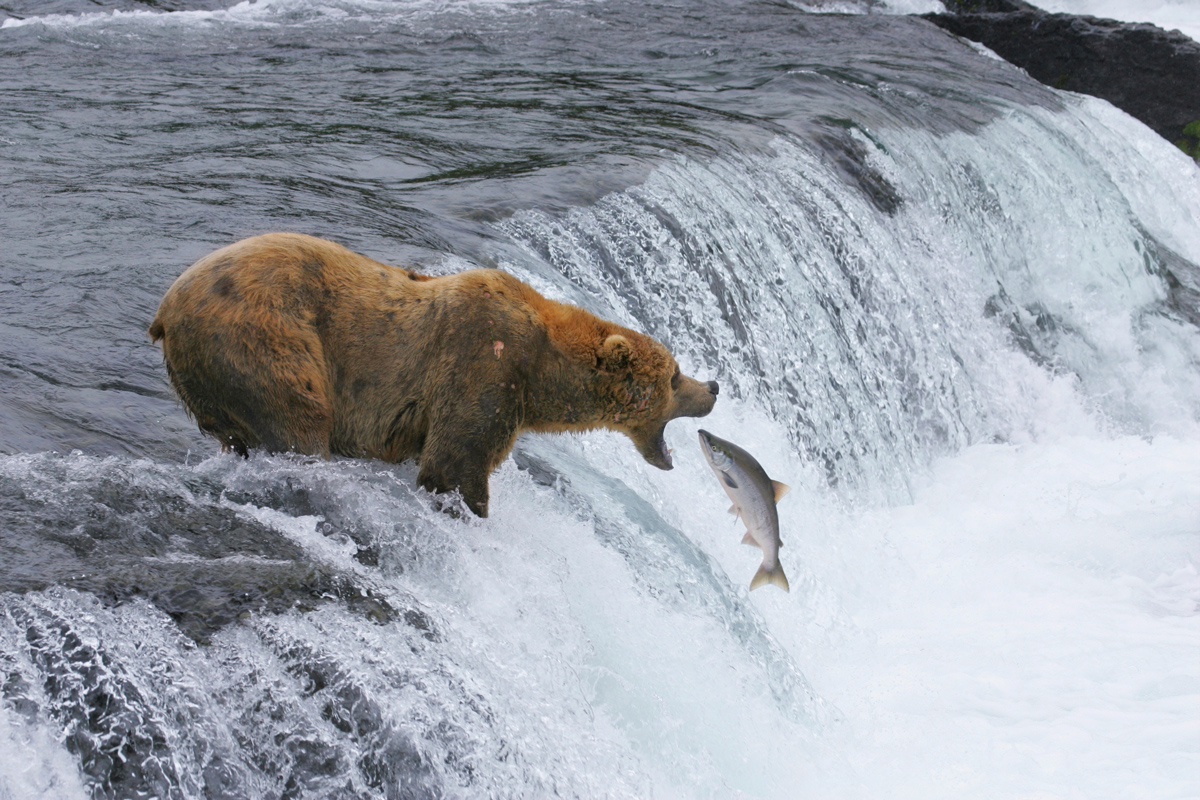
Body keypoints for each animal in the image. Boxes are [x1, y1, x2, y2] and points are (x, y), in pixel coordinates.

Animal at [146, 231, 715, 520]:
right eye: (673, 376)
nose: (711, 387)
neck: (543, 373)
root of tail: (165, 312)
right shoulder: (484, 363)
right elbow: (455, 464)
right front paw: (470, 508)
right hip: (262, 338)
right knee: (297, 421)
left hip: (208, 380)